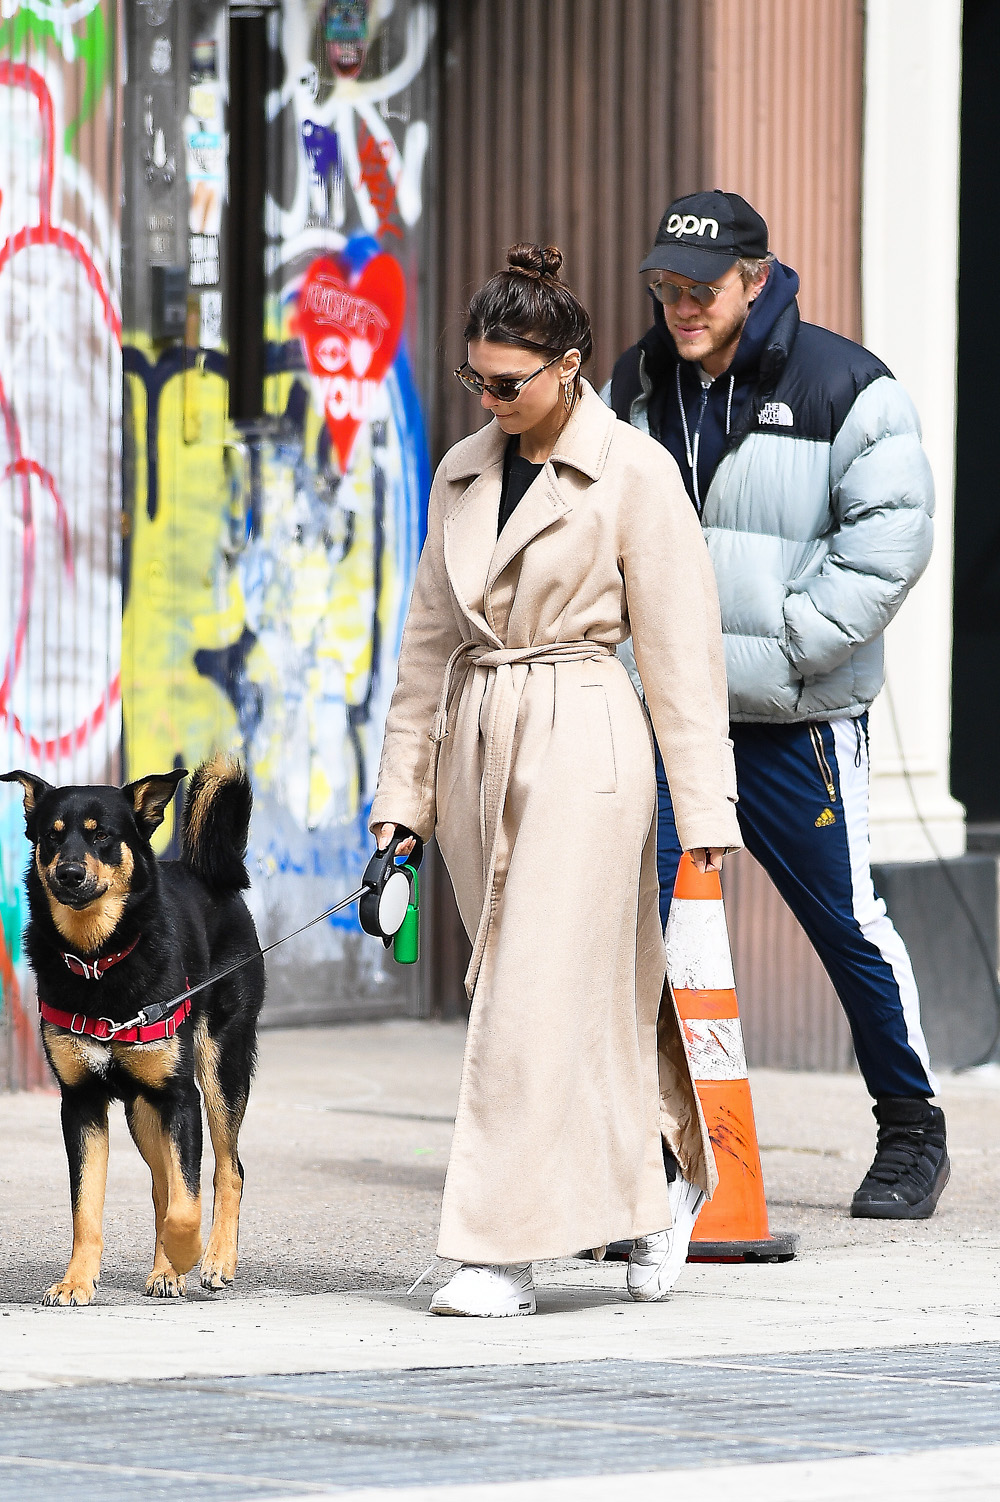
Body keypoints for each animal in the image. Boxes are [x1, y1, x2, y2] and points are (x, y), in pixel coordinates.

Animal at [0, 757, 264, 1309]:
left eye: (102, 836)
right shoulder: (80, 1103)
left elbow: (187, 1201)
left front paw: (188, 1254)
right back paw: (167, 1268)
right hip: (143, 1111)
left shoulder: (179, 1097)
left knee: (227, 1170)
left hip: (220, 1068)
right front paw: (76, 1281)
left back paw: (213, 1261)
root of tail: (211, 877)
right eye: (52, 836)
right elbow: (86, 1207)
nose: (69, 873)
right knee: (163, 1186)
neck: (99, 958)